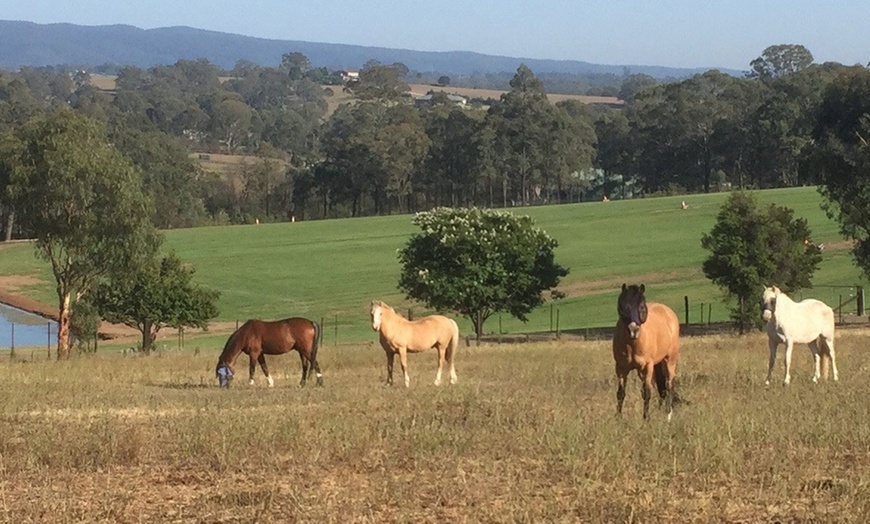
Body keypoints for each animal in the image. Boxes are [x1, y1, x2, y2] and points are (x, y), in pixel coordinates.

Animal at [612, 284, 680, 420]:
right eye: (623, 305)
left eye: (642, 306)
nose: (633, 330)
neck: (632, 344)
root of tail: (668, 311)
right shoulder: (621, 369)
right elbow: (621, 393)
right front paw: (618, 418)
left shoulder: (646, 368)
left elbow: (646, 393)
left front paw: (646, 418)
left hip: (669, 360)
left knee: (669, 384)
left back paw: (668, 414)